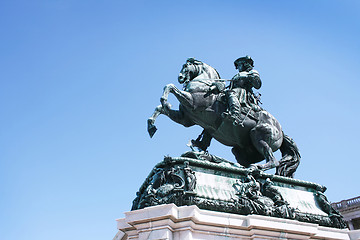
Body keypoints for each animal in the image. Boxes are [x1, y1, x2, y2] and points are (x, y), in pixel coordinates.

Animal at [147, 58, 300, 178]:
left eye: (186, 66)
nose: (180, 78)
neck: (205, 85)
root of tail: (281, 131)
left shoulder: (192, 102)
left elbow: (170, 87)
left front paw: (164, 99)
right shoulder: (185, 119)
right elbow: (160, 108)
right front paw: (151, 126)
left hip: (258, 135)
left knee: (273, 160)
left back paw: (255, 168)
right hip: (240, 151)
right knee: (244, 162)